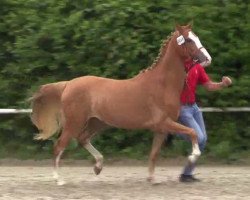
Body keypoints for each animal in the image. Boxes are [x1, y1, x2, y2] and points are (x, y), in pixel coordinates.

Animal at [31, 23, 211, 184]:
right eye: (189, 40)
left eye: (197, 37)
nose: (207, 59)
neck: (162, 84)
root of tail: (68, 84)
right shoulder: (164, 123)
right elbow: (192, 132)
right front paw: (193, 156)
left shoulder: (161, 129)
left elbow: (154, 154)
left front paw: (152, 179)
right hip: (74, 123)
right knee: (59, 146)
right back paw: (59, 179)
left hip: (98, 122)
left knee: (82, 139)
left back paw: (98, 166)